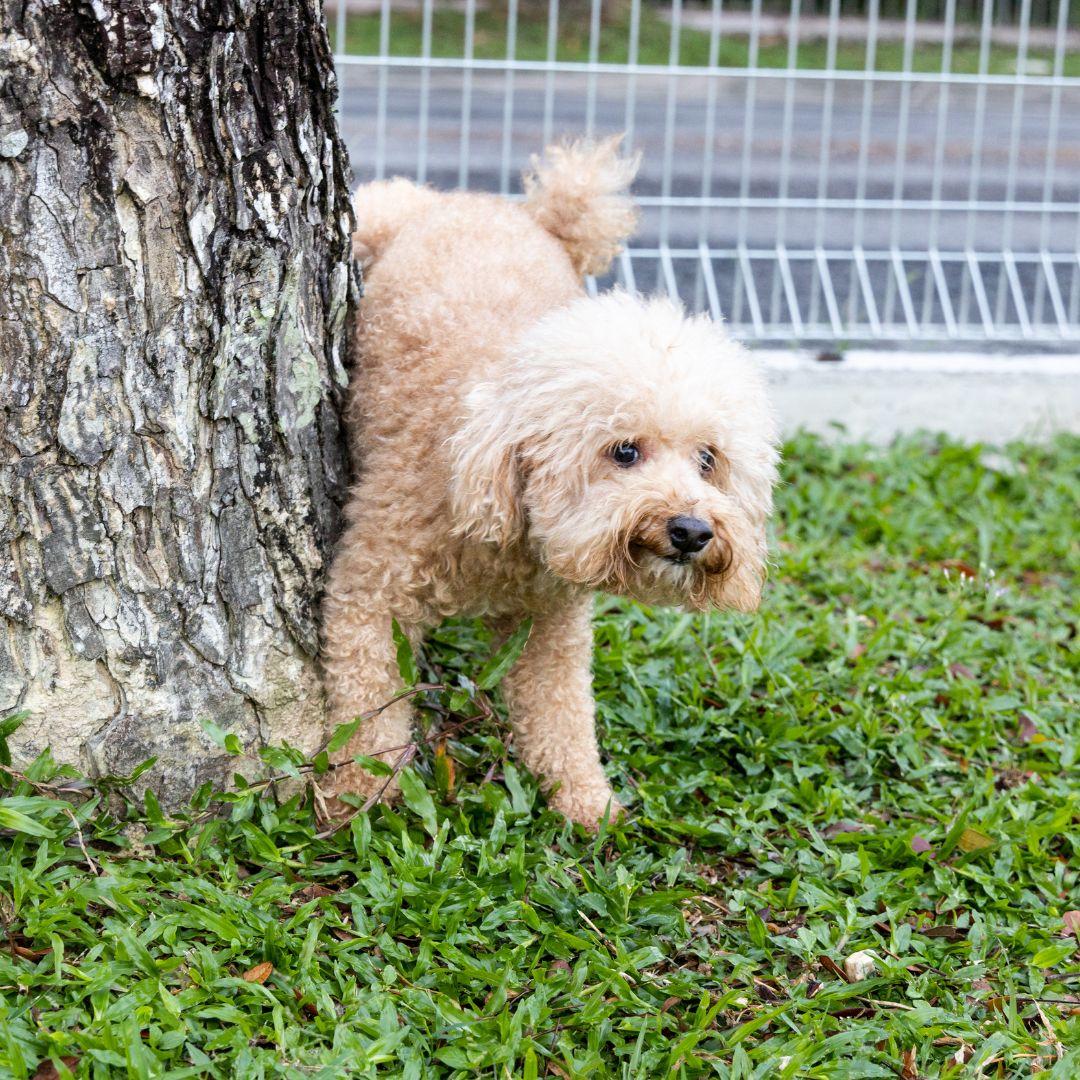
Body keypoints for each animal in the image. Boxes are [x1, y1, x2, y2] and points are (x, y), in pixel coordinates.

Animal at [317, 137, 777, 825]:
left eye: (707, 460)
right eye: (624, 450)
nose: (693, 531)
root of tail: (514, 210)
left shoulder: (551, 621)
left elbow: (559, 710)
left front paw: (586, 801)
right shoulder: (370, 590)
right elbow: (366, 706)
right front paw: (357, 797)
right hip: (381, 213)